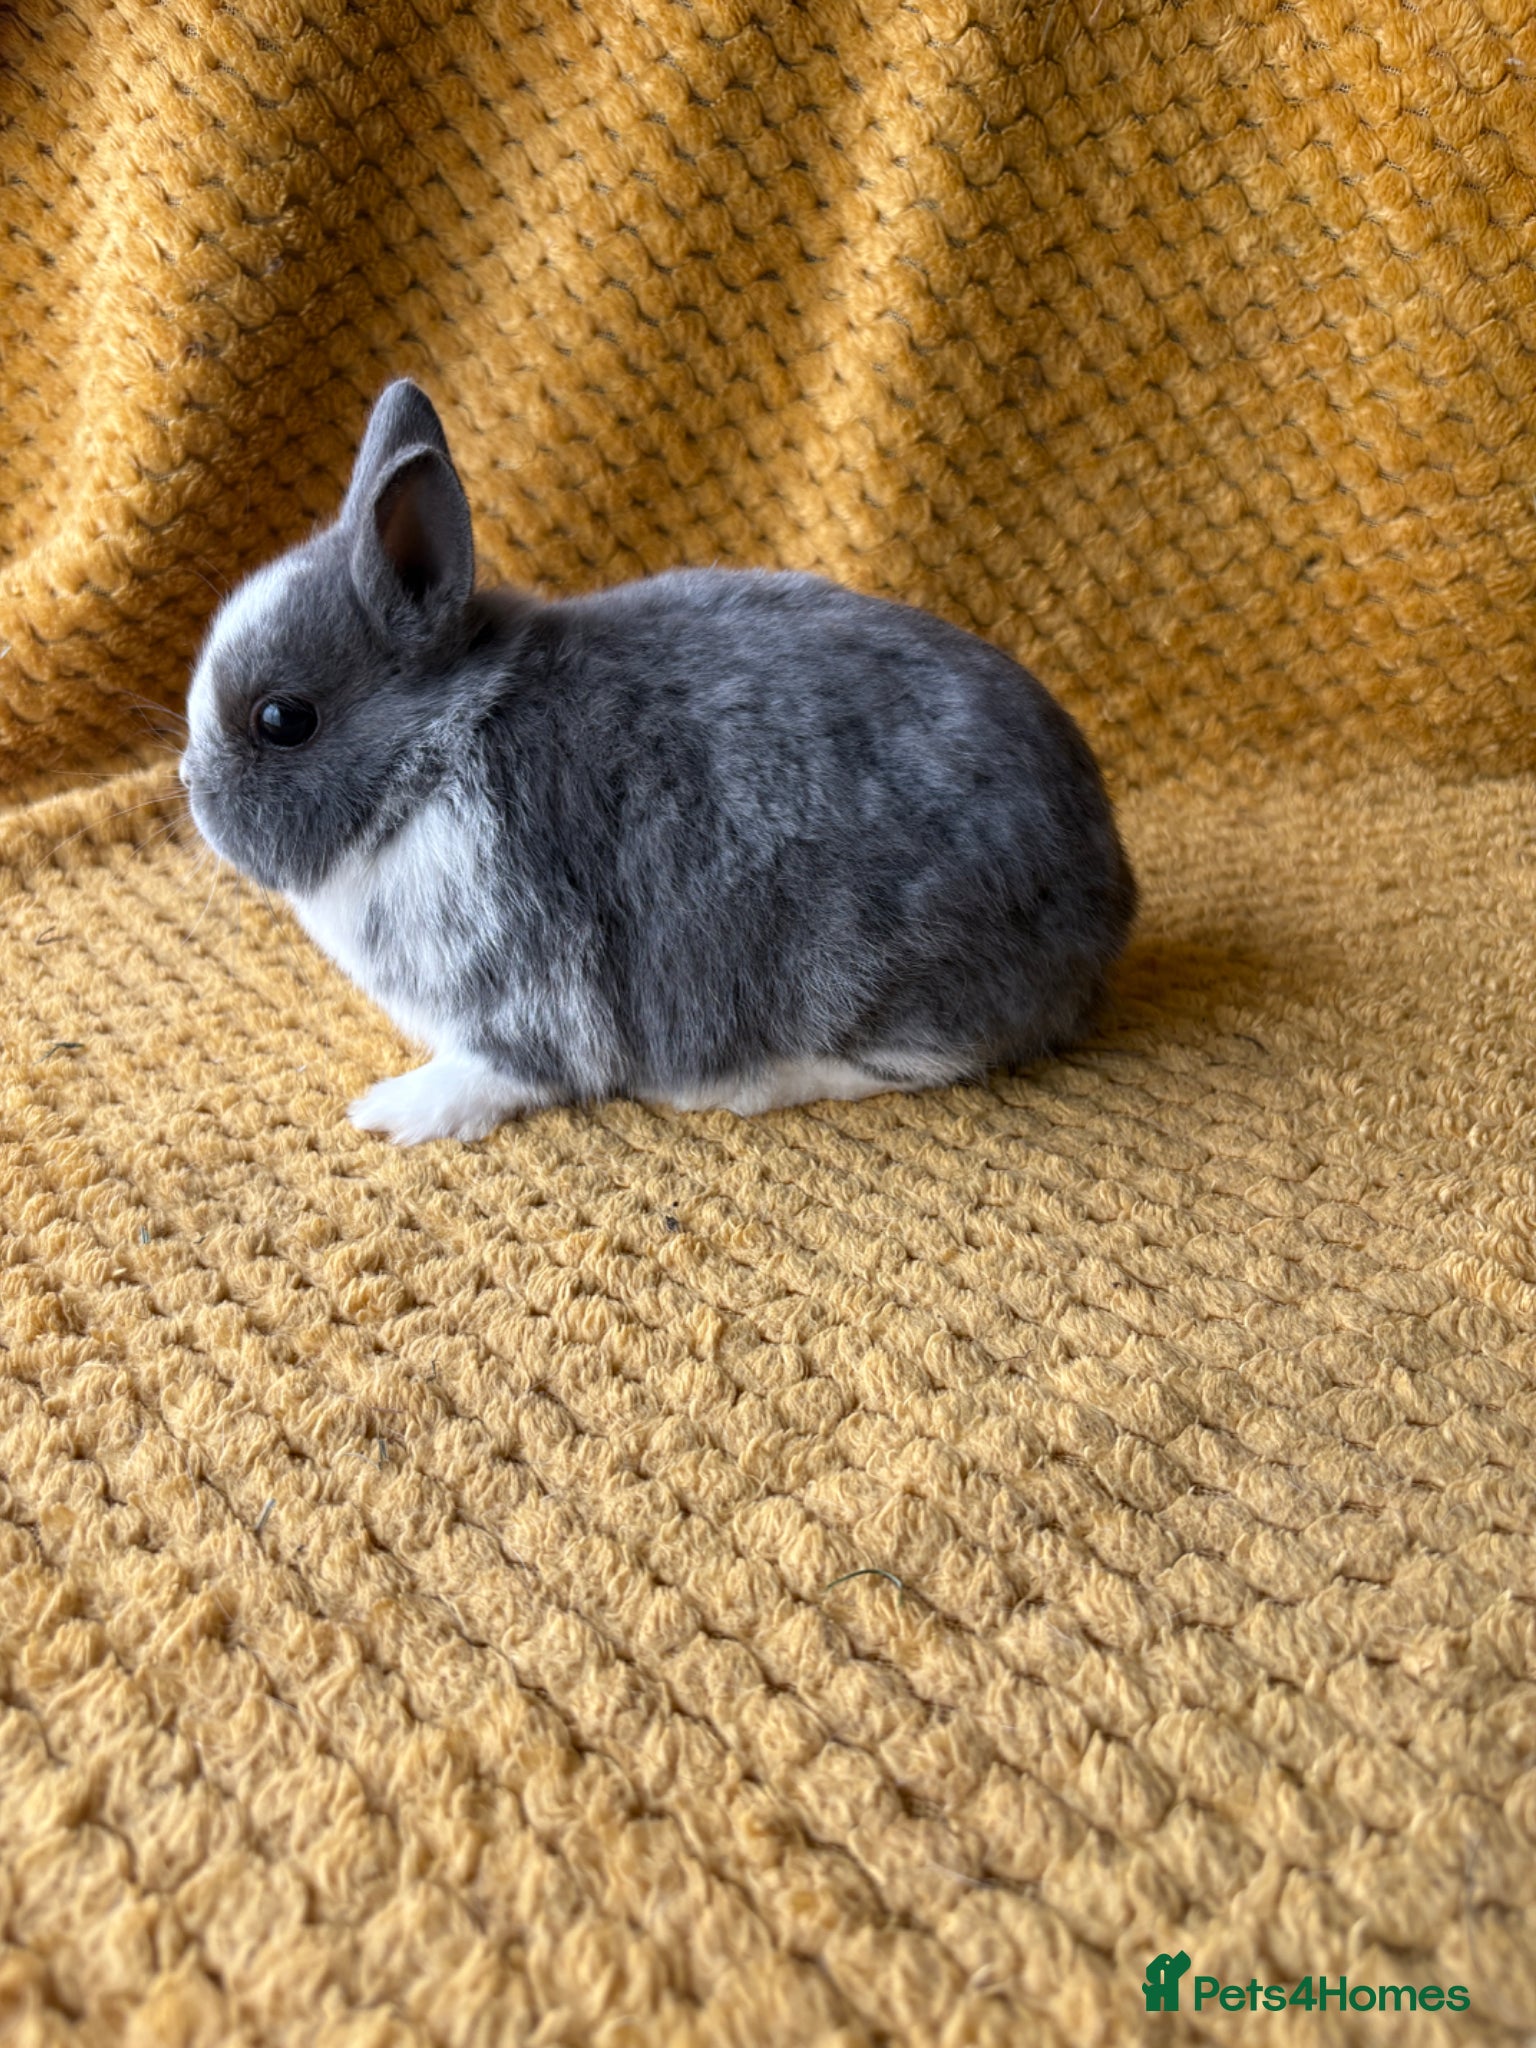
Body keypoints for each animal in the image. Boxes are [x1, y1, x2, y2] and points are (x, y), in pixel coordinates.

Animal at [180, 379, 1137, 1145]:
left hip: (869, 974)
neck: (431, 757)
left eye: (282, 720)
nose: (190, 789)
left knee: (921, 1058)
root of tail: (1106, 903)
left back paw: (742, 1085)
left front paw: (399, 1111)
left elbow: (504, 1069)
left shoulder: (524, 980)